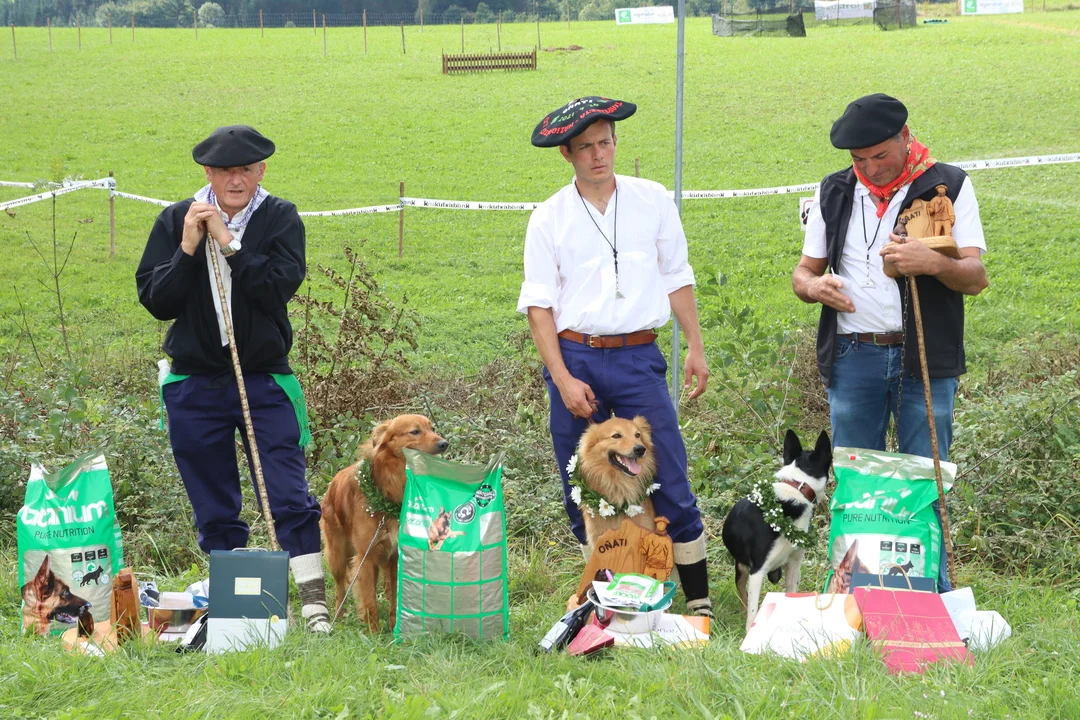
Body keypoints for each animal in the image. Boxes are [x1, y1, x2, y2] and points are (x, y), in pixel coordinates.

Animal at [321, 414, 447, 632]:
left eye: (432, 428)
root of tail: (333, 481)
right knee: (340, 588)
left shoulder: (395, 556)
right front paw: (374, 632)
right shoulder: (365, 557)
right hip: (338, 555)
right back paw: (339, 616)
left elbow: (396, 598)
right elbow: (369, 601)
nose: (444, 444)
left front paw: (394, 626)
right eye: (415, 431)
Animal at [721, 429, 831, 633]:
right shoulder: (757, 571)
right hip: (742, 569)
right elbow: (753, 611)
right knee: (743, 594)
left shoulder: (794, 565)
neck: (797, 487)